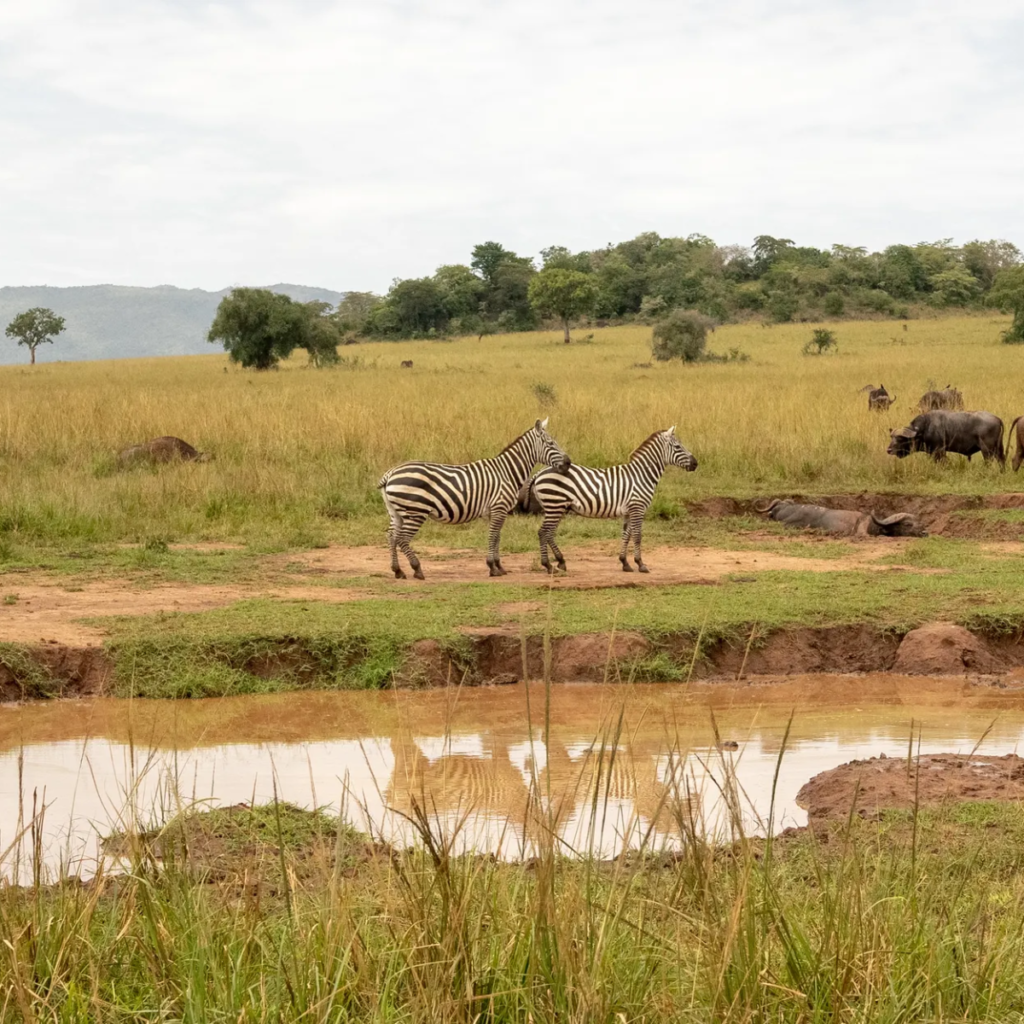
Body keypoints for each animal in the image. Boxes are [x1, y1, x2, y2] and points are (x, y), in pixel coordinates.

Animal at [378, 418, 571, 580]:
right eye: (551, 443)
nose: (568, 463)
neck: (506, 472)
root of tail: (390, 473)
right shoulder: (499, 507)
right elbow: (493, 536)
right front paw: (492, 567)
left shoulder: (494, 512)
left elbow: (497, 536)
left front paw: (499, 566)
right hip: (415, 511)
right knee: (402, 538)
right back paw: (417, 569)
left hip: (396, 512)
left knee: (391, 536)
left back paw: (398, 571)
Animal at [521, 427, 697, 574]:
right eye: (678, 447)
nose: (696, 463)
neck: (641, 475)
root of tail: (539, 473)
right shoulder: (638, 508)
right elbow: (637, 535)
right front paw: (641, 564)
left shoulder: (629, 510)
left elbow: (626, 535)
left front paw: (625, 563)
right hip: (554, 505)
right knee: (543, 532)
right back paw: (548, 565)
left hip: (558, 507)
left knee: (549, 533)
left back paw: (561, 562)